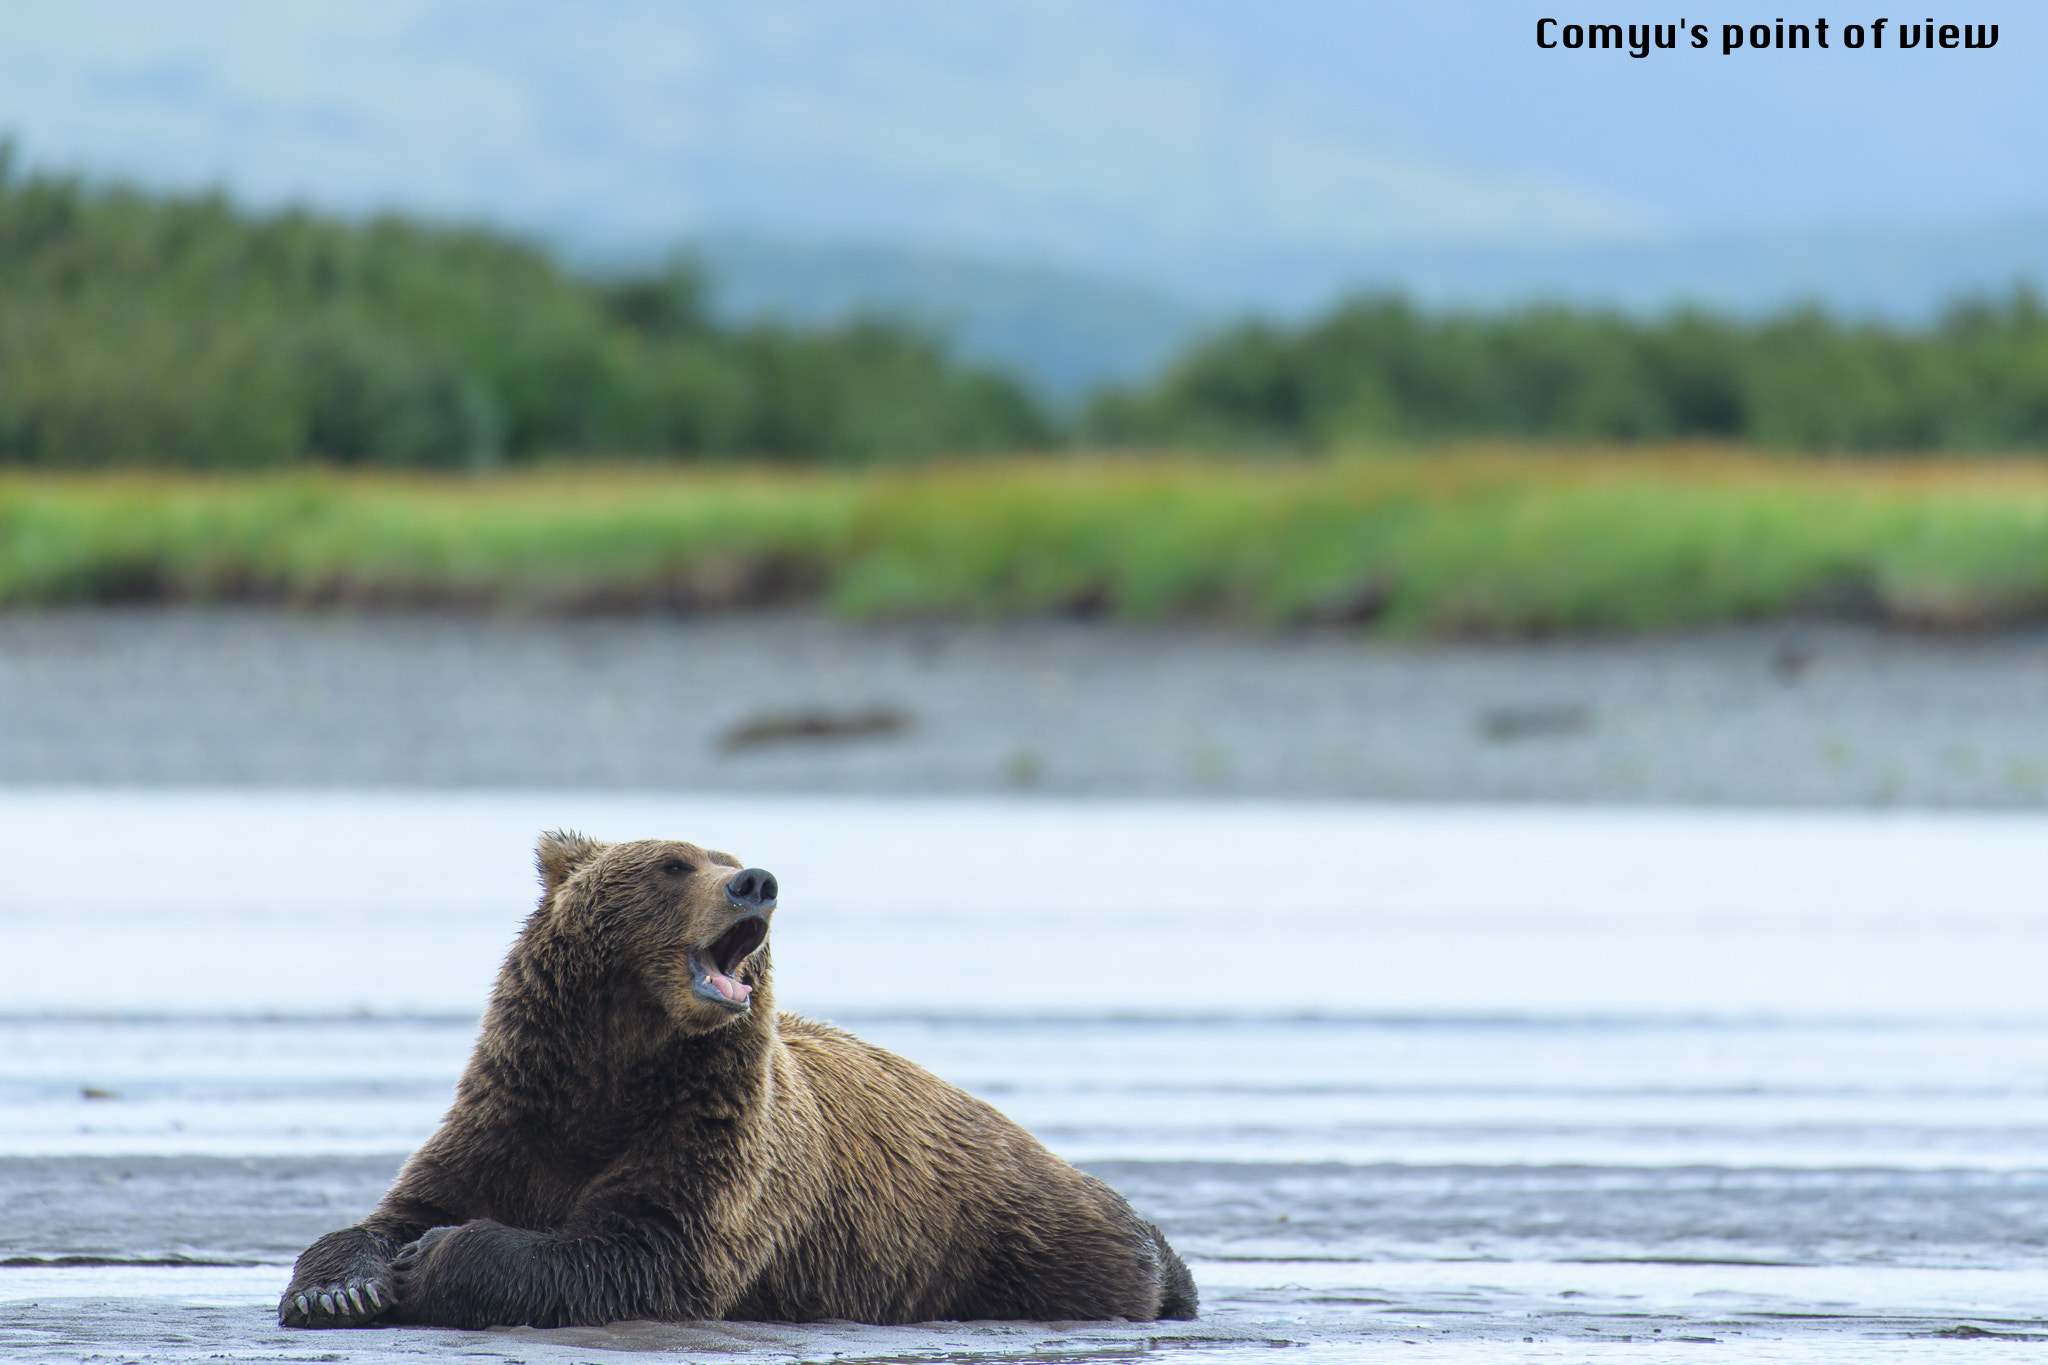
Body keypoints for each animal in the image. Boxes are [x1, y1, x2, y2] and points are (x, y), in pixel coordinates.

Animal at [276, 826, 1196, 1326]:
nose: (759, 882)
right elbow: (396, 1210)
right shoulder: (509, 1114)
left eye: (729, 856)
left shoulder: (714, 1144)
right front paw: (344, 1286)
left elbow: (639, 1250)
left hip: (1008, 1230)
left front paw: (435, 1256)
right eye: (675, 863)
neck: (617, 1063)